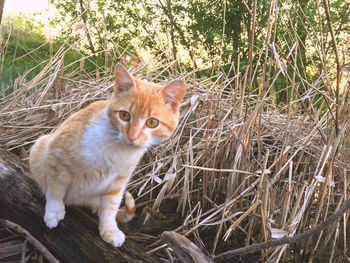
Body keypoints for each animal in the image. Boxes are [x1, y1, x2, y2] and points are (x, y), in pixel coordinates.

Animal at [29, 65, 186, 249]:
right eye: (124, 115)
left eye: (152, 123)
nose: (132, 137)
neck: (118, 149)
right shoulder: (58, 156)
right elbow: (56, 188)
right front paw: (54, 210)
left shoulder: (119, 181)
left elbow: (111, 207)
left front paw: (109, 230)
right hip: (40, 145)